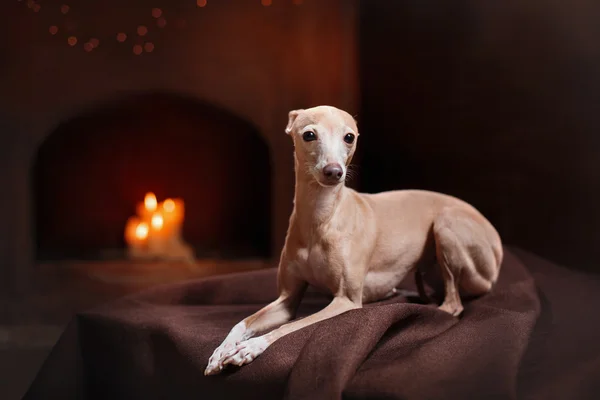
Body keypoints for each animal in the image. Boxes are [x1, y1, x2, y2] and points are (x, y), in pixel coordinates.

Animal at [204, 104, 504, 376]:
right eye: (309, 134)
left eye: (349, 137)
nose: (333, 171)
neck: (320, 218)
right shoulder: (287, 298)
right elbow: (245, 322)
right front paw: (222, 350)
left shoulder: (345, 301)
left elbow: (290, 326)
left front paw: (249, 348)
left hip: (447, 225)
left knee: (453, 304)